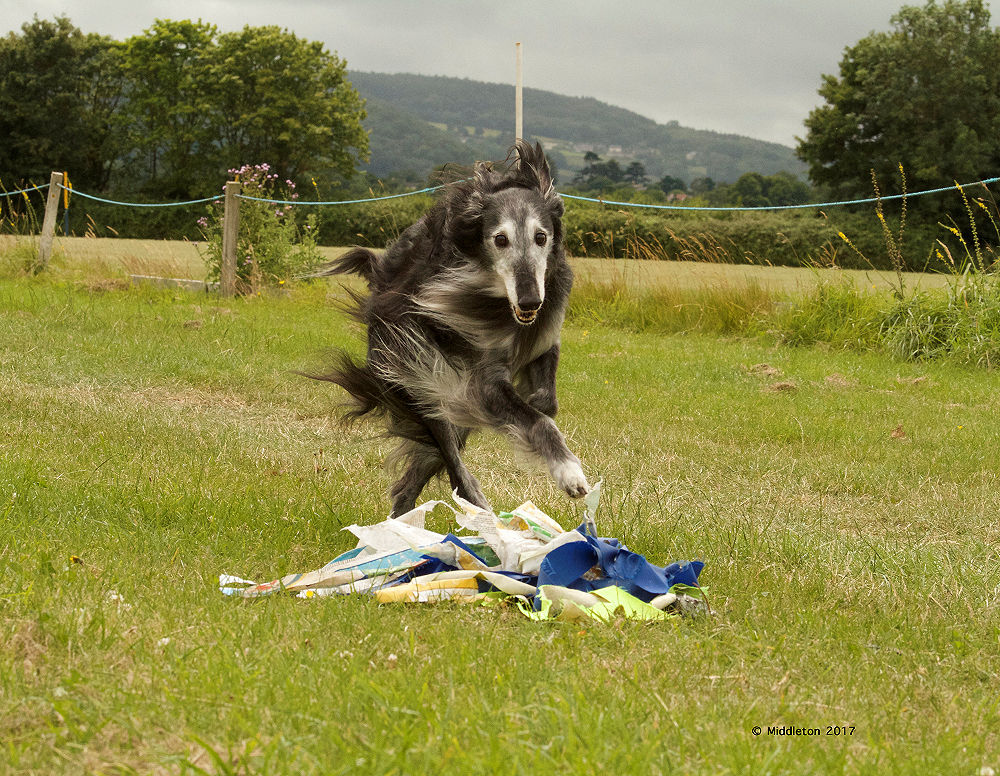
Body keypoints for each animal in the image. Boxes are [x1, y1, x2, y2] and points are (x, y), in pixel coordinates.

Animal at [311, 141, 589, 517]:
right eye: (500, 239)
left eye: (541, 237)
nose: (531, 301)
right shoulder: (483, 379)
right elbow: (539, 419)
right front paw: (568, 471)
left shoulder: (543, 339)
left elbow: (545, 403)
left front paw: (534, 405)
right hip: (419, 380)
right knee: (454, 466)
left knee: (416, 475)